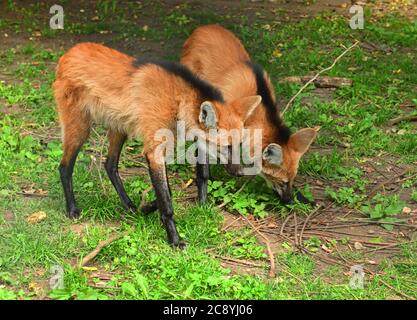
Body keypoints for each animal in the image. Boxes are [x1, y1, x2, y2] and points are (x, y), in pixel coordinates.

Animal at [52, 42, 260, 246]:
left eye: (238, 145)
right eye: (226, 147)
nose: (240, 172)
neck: (177, 100)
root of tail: (69, 53)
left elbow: (200, 175)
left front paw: (200, 205)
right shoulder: (155, 150)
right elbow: (167, 197)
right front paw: (174, 239)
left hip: (120, 127)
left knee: (109, 165)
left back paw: (129, 206)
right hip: (80, 129)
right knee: (64, 167)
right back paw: (72, 209)